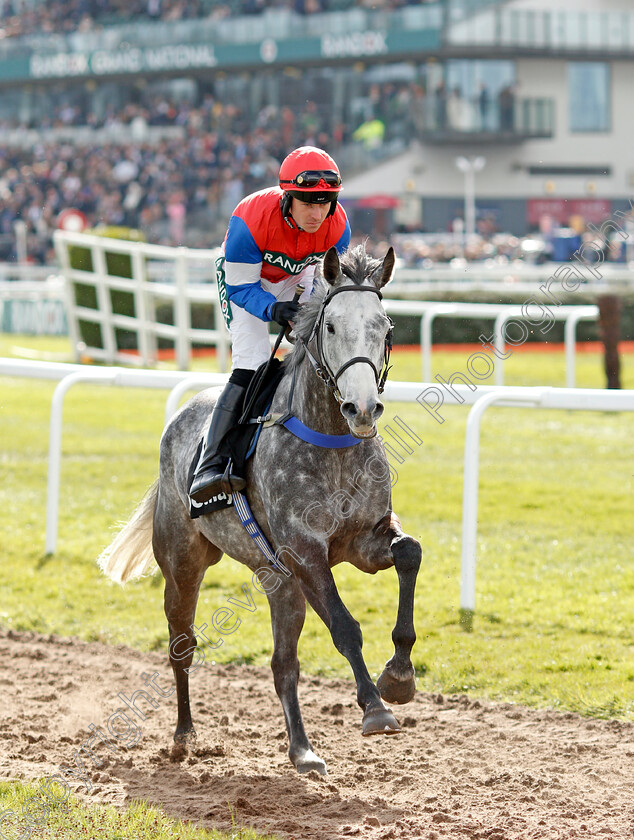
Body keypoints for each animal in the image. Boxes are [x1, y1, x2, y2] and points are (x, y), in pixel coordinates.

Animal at [100, 243, 420, 776]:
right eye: (331, 327)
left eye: (386, 328)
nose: (362, 409)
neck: (332, 441)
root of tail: (179, 419)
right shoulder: (304, 550)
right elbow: (345, 625)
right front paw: (375, 708)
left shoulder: (363, 541)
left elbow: (410, 552)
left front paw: (399, 675)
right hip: (183, 565)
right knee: (182, 646)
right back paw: (184, 737)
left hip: (279, 583)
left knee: (282, 664)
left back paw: (303, 750)